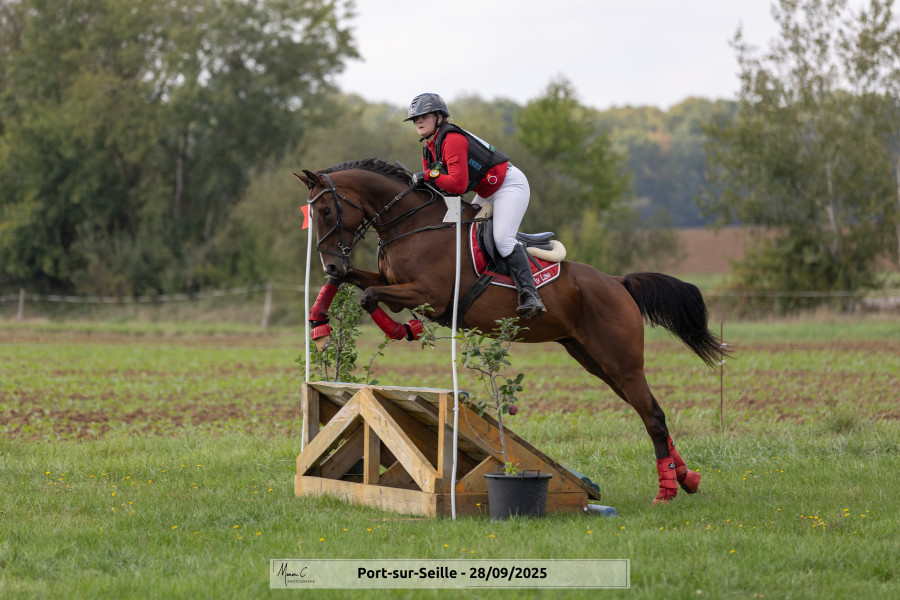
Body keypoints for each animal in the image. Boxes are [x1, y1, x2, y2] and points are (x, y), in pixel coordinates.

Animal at [296, 158, 728, 504]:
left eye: (327, 210)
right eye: (312, 213)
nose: (330, 261)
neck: (413, 225)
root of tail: (618, 283)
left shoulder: (427, 295)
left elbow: (370, 296)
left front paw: (404, 329)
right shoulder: (391, 282)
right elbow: (354, 282)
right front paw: (319, 320)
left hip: (620, 361)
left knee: (653, 414)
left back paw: (666, 491)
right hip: (596, 361)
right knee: (648, 411)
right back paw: (686, 479)